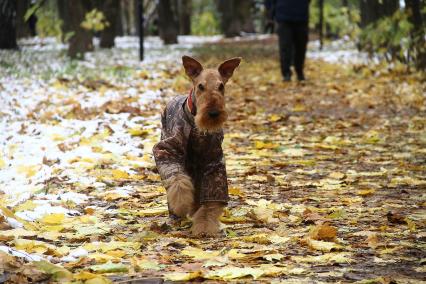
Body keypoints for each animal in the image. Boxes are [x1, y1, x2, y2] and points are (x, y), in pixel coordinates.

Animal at [153, 55, 241, 235]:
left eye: (221, 86)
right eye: (201, 86)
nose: (213, 113)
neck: (197, 127)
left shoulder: (213, 161)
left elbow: (210, 203)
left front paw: (204, 227)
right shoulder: (168, 151)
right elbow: (178, 181)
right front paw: (181, 204)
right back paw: (175, 217)